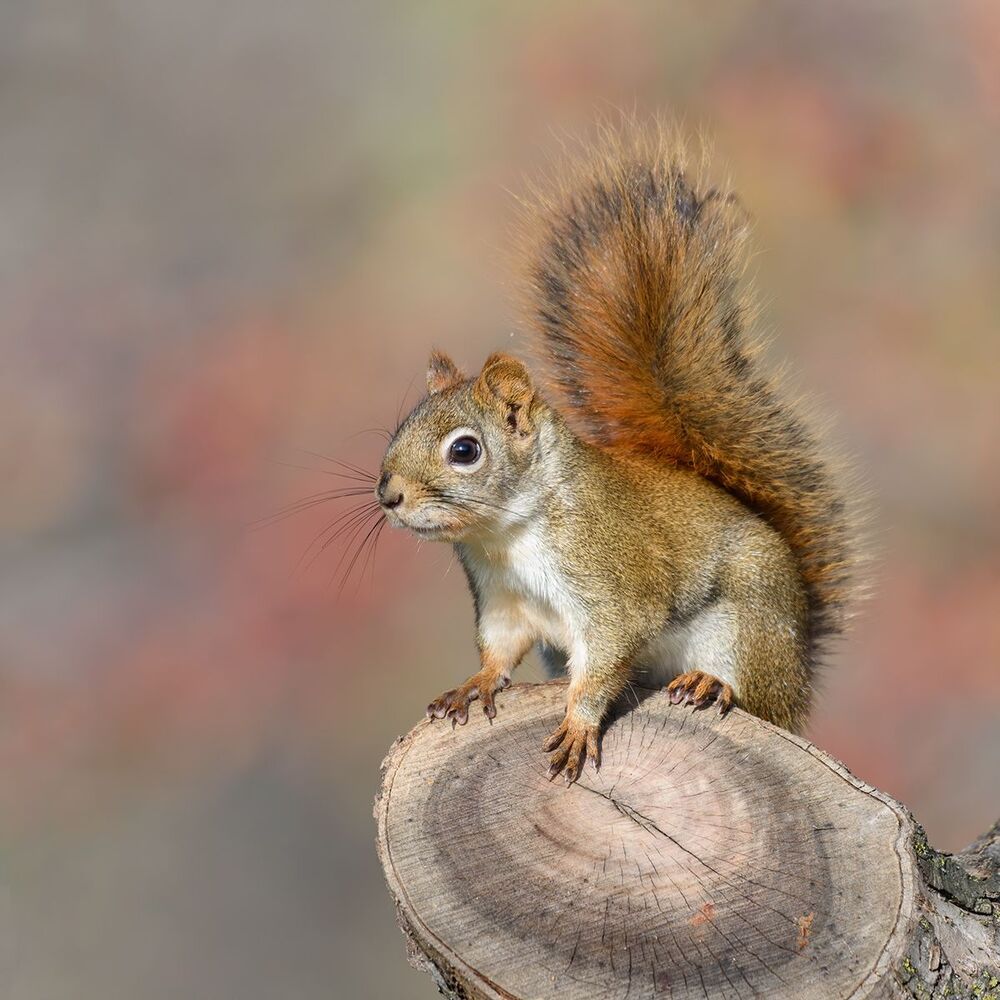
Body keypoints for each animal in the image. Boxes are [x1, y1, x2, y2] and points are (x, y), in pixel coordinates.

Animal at [375, 124, 860, 783]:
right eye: (401, 427)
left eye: (465, 450)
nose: (388, 495)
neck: (508, 533)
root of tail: (801, 671)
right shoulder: (502, 598)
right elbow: (499, 649)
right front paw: (473, 684)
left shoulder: (614, 587)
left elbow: (603, 665)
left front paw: (578, 727)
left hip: (750, 628)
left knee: (755, 695)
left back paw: (712, 685)